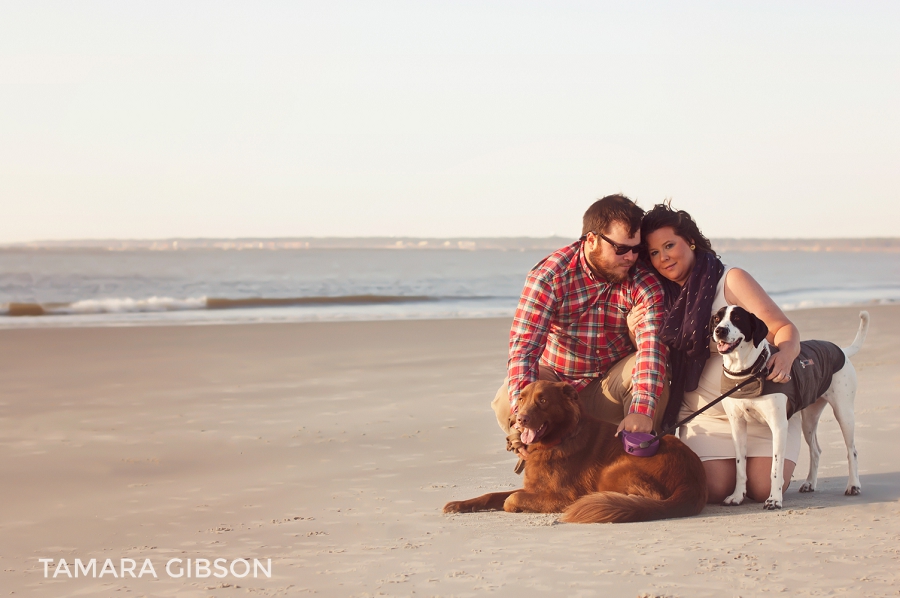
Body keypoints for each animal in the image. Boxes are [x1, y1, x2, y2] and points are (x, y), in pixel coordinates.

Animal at [442, 382, 712, 524]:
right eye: (521, 399)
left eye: (542, 401)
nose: (520, 419)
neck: (558, 440)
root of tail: (694, 481)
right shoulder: (532, 487)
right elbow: (492, 495)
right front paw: (459, 504)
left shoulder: (564, 496)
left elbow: (512, 499)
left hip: (614, 471)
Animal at [708, 310, 868, 510]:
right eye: (716, 319)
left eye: (737, 318)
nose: (720, 330)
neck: (747, 373)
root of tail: (842, 351)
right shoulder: (737, 426)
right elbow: (740, 466)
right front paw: (737, 496)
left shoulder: (778, 427)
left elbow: (776, 469)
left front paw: (774, 499)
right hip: (809, 420)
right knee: (816, 450)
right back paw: (809, 483)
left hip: (844, 413)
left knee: (852, 450)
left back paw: (853, 485)